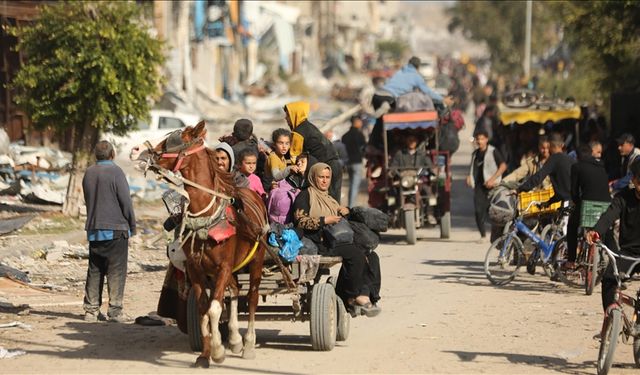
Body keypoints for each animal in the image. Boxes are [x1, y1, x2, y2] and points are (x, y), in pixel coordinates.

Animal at [130, 122, 270, 368]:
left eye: (172, 141)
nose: (136, 149)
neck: (206, 216)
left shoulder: (223, 267)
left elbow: (214, 309)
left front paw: (218, 351)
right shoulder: (196, 269)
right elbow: (204, 309)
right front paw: (206, 354)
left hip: (256, 260)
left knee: (252, 297)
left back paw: (249, 344)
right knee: (235, 290)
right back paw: (235, 339)